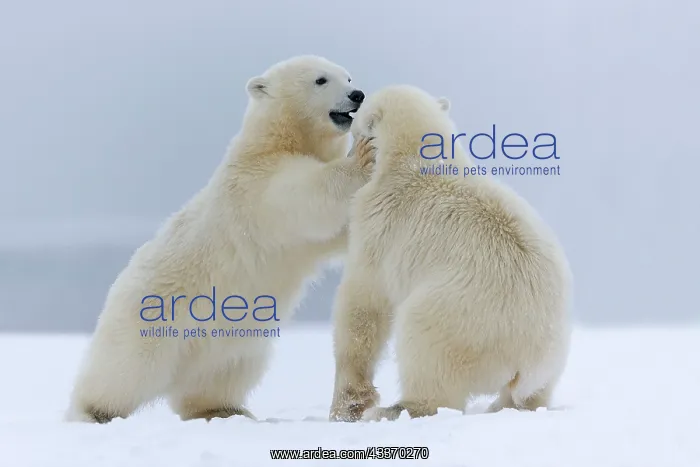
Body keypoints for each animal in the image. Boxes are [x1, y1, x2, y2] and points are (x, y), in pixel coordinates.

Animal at [65, 55, 376, 423]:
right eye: (320, 80)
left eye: (348, 77)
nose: (357, 94)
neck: (274, 141)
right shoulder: (258, 184)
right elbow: (306, 194)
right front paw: (362, 156)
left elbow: (338, 232)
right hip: (151, 317)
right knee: (125, 370)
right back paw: (93, 411)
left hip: (231, 342)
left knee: (220, 375)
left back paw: (225, 408)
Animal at [328, 84, 573, 422]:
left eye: (360, 116)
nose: (357, 100)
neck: (414, 162)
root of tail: (534, 359)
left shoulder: (378, 224)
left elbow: (364, 303)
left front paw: (346, 405)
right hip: (554, 349)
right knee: (532, 394)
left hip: (456, 314)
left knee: (424, 345)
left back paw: (394, 409)